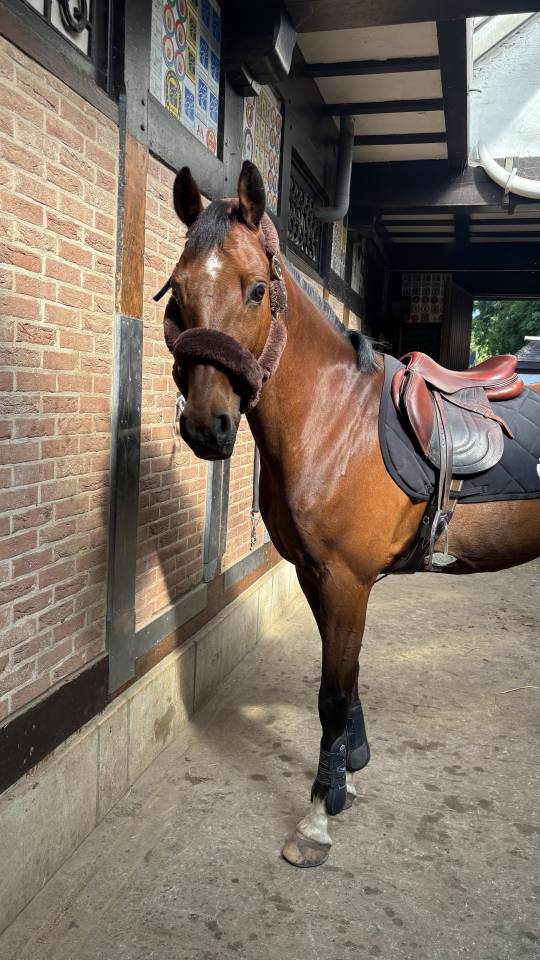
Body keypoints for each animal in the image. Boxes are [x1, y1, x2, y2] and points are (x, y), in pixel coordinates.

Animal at [159, 160, 540, 868]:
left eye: (257, 290)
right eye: (176, 294)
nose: (206, 427)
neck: (336, 418)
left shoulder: (346, 580)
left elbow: (332, 696)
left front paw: (316, 816)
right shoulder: (319, 576)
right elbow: (346, 679)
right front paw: (347, 772)